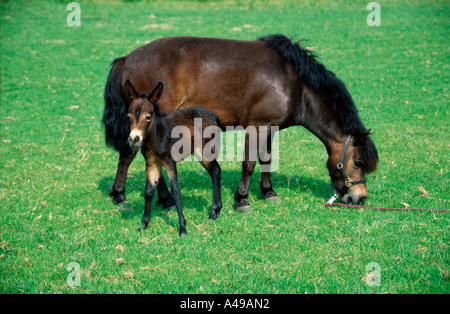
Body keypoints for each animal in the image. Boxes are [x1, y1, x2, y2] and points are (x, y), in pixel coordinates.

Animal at [103, 33, 380, 211]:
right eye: (357, 162)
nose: (361, 198)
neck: (296, 85)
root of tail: (126, 58)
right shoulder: (257, 127)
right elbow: (248, 164)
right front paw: (242, 199)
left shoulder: (271, 128)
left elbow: (266, 159)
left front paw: (268, 192)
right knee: (132, 154)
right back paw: (131, 197)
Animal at [125, 80, 223, 236]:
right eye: (128, 117)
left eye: (148, 117)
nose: (134, 139)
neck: (156, 138)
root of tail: (214, 116)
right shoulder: (152, 163)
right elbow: (148, 191)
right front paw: (143, 225)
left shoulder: (170, 162)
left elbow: (176, 191)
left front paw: (182, 228)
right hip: (199, 153)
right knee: (215, 171)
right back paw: (216, 211)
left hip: (206, 151)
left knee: (216, 170)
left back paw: (213, 213)